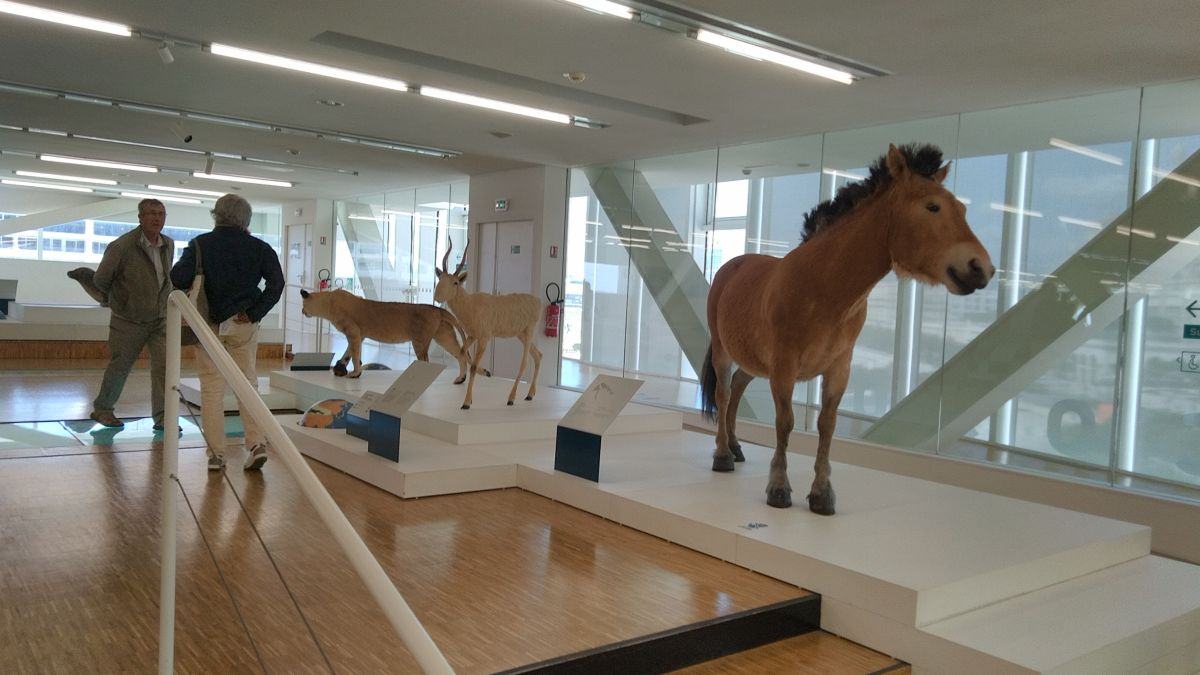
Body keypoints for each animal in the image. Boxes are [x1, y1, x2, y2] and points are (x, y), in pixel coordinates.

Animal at [298, 285, 482, 381]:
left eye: (303, 305)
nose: (301, 311)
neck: (328, 302)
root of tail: (437, 309)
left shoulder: (354, 332)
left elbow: (355, 354)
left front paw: (355, 373)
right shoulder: (360, 335)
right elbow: (349, 352)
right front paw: (341, 368)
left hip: (420, 341)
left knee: (425, 360)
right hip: (444, 336)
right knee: (460, 354)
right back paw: (460, 379)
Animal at [434, 239, 542, 408]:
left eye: (456, 282)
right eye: (441, 279)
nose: (437, 296)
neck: (470, 305)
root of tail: (538, 301)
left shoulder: (484, 338)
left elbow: (473, 366)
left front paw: (466, 402)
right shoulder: (472, 336)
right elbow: (463, 352)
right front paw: (483, 373)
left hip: (529, 330)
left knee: (524, 361)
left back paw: (511, 398)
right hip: (521, 334)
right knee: (538, 355)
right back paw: (530, 394)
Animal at [700, 141, 993, 509]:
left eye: (962, 209)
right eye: (933, 206)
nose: (981, 268)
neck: (825, 287)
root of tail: (731, 266)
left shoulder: (840, 366)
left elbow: (827, 425)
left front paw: (822, 493)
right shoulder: (784, 366)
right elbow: (785, 422)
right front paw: (779, 488)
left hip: (754, 360)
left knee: (739, 386)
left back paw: (737, 446)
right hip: (723, 351)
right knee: (724, 393)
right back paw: (722, 454)